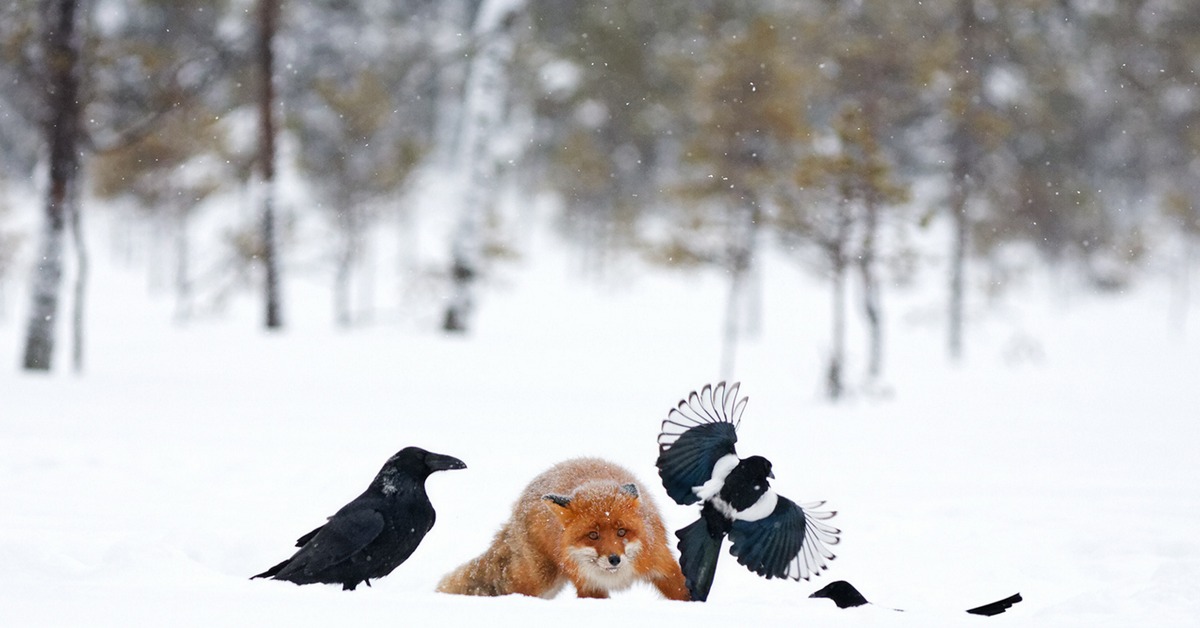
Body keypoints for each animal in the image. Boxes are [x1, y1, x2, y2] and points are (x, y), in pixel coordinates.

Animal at [436, 458, 691, 602]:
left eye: (621, 532)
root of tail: (519, 505)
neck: (617, 577)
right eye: (593, 535)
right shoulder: (590, 586)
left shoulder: (662, 564)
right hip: (539, 580)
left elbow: (683, 591)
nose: (614, 559)